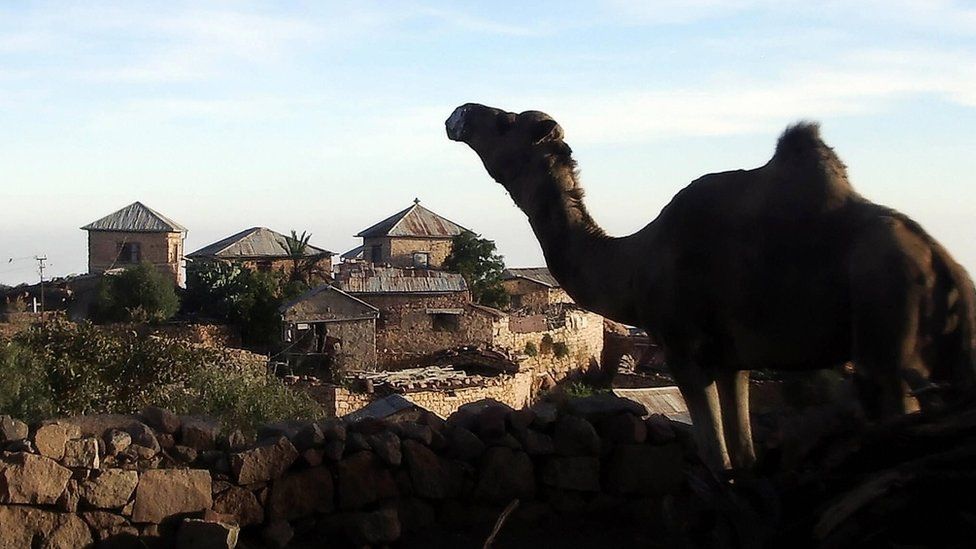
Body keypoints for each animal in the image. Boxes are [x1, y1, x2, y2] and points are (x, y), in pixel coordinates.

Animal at [448, 104, 976, 470]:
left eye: (506, 122)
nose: (460, 114)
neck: (635, 262)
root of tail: (942, 262)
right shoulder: (732, 360)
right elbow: (743, 457)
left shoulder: (685, 349)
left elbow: (716, 460)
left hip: (884, 335)